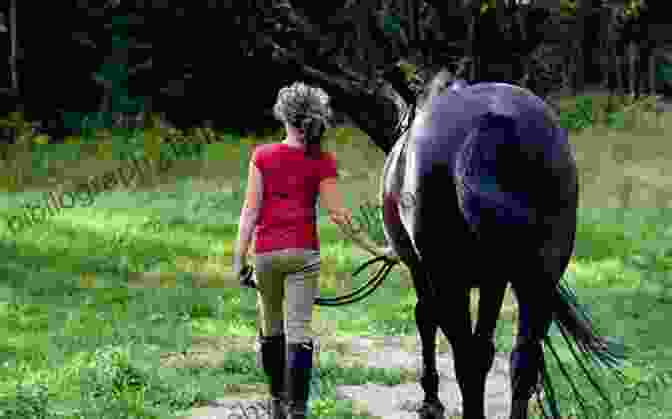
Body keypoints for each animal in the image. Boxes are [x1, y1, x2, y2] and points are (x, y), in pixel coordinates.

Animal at [378, 70, 624, 418]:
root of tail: (490, 123)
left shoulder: (420, 270)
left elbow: (425, 317)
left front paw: (430, 401)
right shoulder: (494, 279)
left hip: (448, 278)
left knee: (466, 356)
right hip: (540, 274)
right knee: (522, 358)